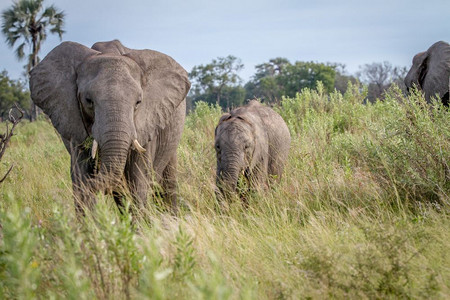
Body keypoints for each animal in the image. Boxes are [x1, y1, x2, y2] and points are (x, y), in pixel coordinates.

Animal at [28, 39, 190, 214]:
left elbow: (138, 183)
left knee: (166, 186)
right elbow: (81, 182)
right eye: (88, 100)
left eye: (138, 102)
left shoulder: (147, 123)